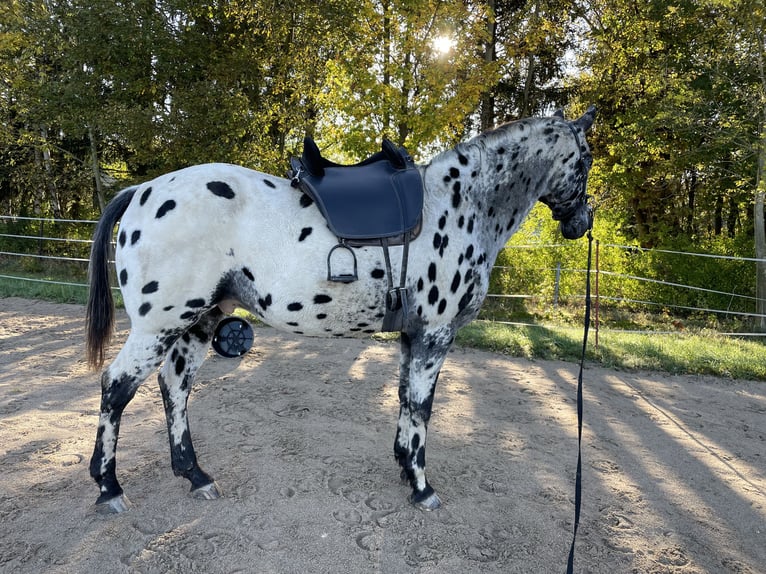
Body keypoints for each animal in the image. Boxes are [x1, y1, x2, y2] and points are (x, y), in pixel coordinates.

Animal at [85, 106, 600, 516]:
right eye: (588, 158)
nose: (582, 223)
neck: (461, 203)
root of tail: (143, 189)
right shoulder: (435, 334)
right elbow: (422, 407)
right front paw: (421, 487)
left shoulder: (412, 335)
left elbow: (404, 400)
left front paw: (403, 466)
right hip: (159, 326)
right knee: (117, 388)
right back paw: (109, 488)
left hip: (199, 321)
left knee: (174, 387)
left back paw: (195, 475)